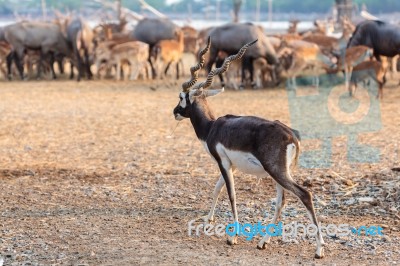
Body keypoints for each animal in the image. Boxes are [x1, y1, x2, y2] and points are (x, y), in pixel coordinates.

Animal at [172, 37, 324, 258]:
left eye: (181, 97)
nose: (174, 112)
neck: (212, 127)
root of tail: (291, 135)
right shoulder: (230, 165)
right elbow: (216, 189)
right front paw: (208, 220)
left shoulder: (223, 163)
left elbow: (231, 195)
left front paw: (232, 237)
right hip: (280, 173)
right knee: (281, 202)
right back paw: (263, 242)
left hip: (276, 171)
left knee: (304, 194)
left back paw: (319, 249)